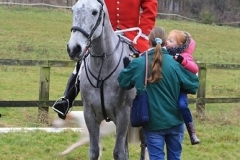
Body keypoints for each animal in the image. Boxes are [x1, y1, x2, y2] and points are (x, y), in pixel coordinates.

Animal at [66, 0, 138, 159]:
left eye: (94, 12)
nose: (74, 48)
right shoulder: (90, 114)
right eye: (73, 10)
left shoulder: (123, 115)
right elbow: (94, 151)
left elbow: (119, 153)